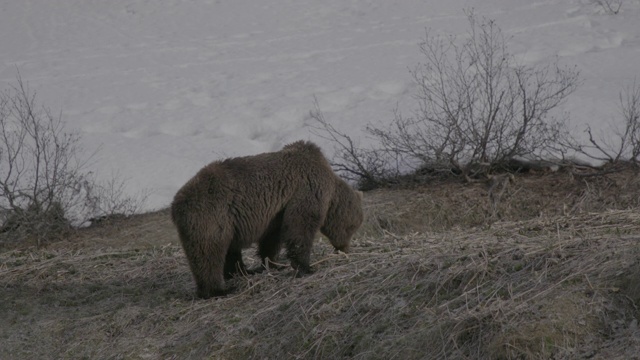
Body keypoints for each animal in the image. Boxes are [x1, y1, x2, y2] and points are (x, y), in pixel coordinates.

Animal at [170, 141, 362, 298]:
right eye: (353, 228)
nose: (345, 249)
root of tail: (176, 204)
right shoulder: (306, 188)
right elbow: (300, 228)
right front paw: (305, 267)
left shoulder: (277, 212)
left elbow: (272, 239)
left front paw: (273, 264)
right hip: (211, 216)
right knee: (209, 253)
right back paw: (219, 290)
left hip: (225, 222)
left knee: (230, 250)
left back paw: (242, 272)